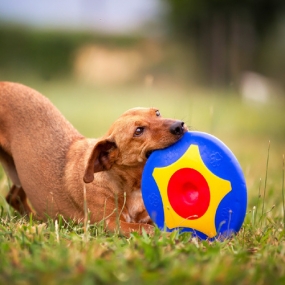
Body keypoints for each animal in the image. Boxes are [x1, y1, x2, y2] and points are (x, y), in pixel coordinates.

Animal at [0, 81, 186, 234]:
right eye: (138, 131)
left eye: (157, 113)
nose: (179, 126)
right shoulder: (112, 224)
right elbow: (147, 229)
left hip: (20, 175)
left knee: (13, 197)